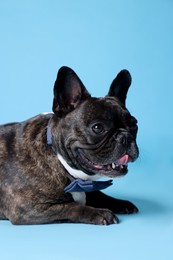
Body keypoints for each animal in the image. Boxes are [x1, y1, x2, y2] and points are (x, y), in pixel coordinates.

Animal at [0, 66, 139, 224]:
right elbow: (70, 206)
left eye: (134, 125)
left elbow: (98, 194)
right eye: (98, 127)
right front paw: (100, 213)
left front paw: (121, 203)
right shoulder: (28, 208)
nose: (125, 137)